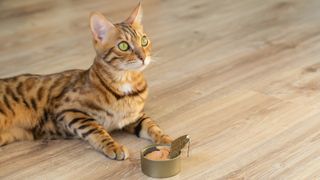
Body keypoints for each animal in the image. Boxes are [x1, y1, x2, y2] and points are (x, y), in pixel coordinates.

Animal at [0, 2, 172, 160]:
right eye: (123, 46)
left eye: (144, 41)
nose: (143, 57)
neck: (126, 83)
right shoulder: (67, 110)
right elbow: (95, 128)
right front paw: (114, 146)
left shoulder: (135, 116)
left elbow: (152, 125)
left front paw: (166, 138)